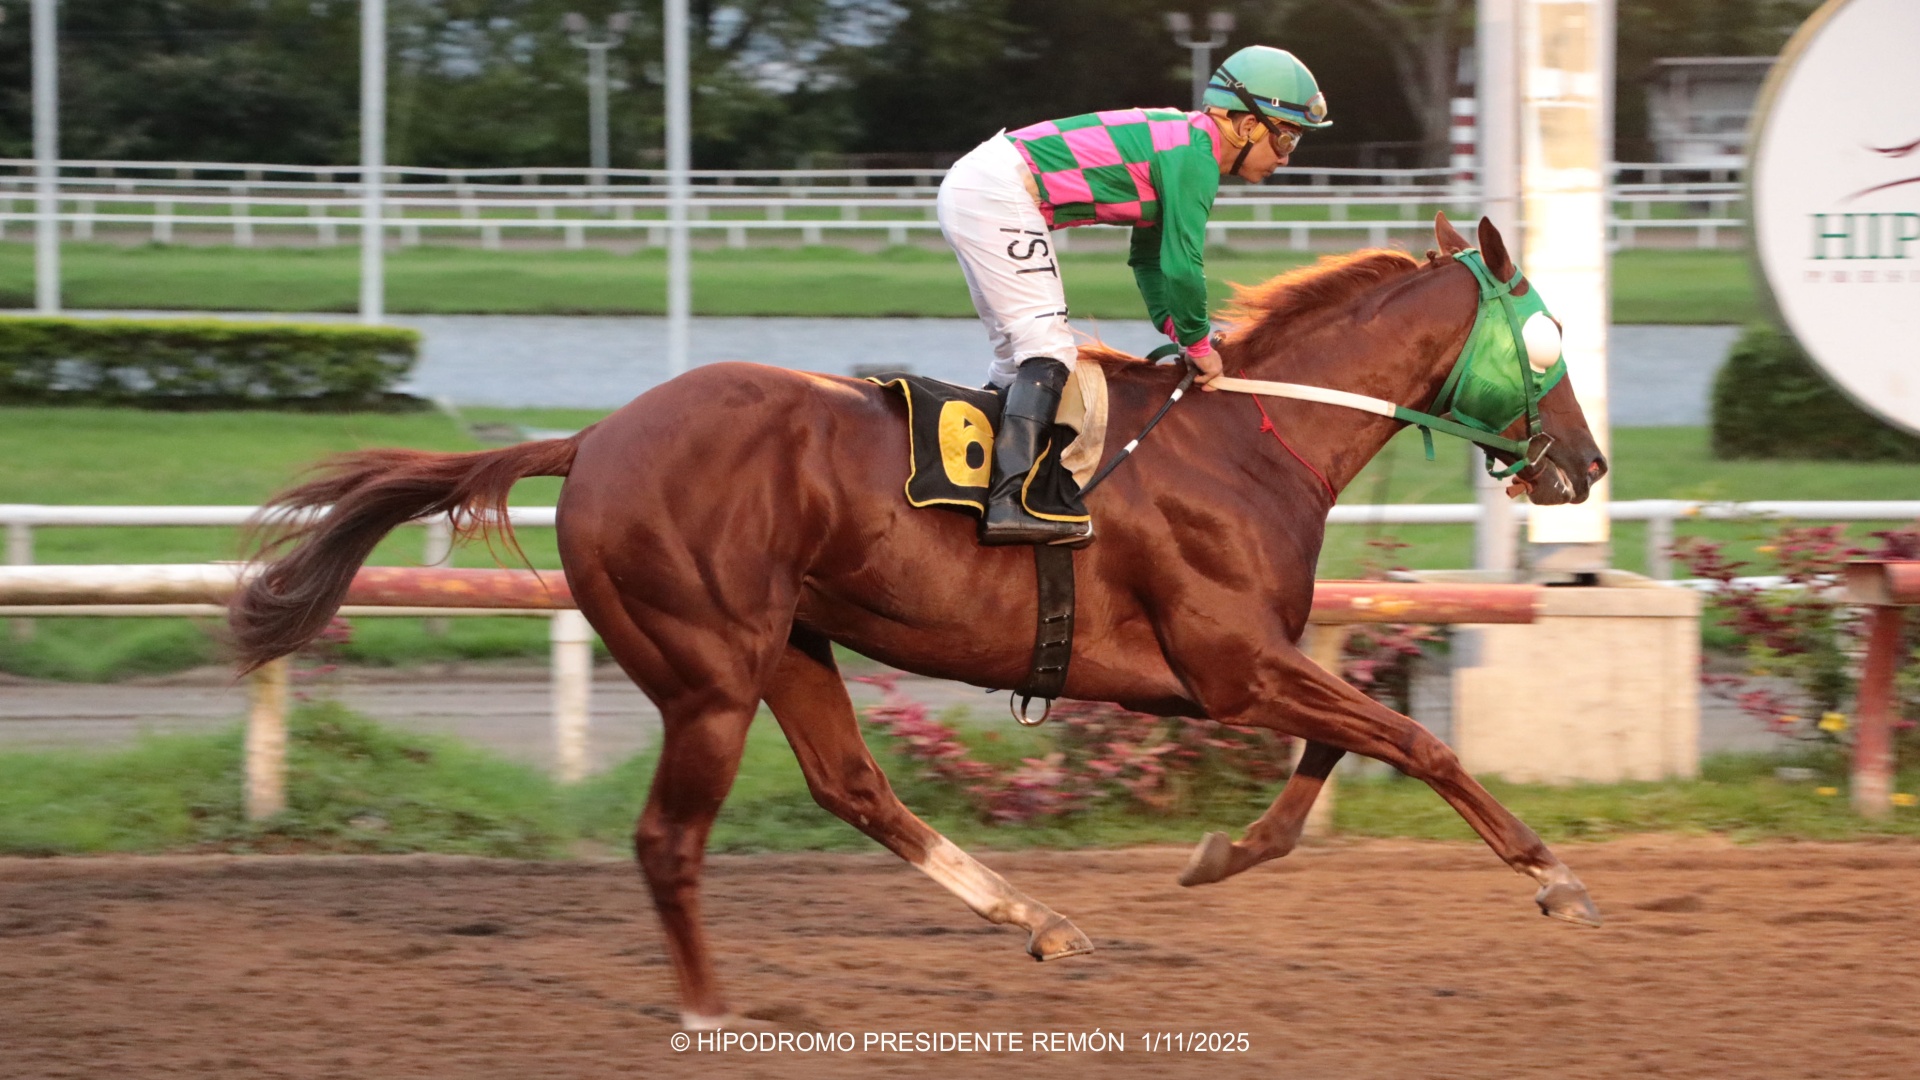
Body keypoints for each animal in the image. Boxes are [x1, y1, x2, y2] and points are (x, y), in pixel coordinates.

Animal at [230, 213, 1608, 1029]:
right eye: (1547, 334)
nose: (1588, 466)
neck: (1252, 436)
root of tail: (596, 438)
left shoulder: (1250, 664)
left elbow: (1345, 746)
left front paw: (1222, 853)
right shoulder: (1228, 665)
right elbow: (1415, 740)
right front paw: (1552, 878)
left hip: (790, 642)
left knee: (853, 787)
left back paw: (1035, 920)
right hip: (708, 671)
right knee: (671, 841)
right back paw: (710, 1007)